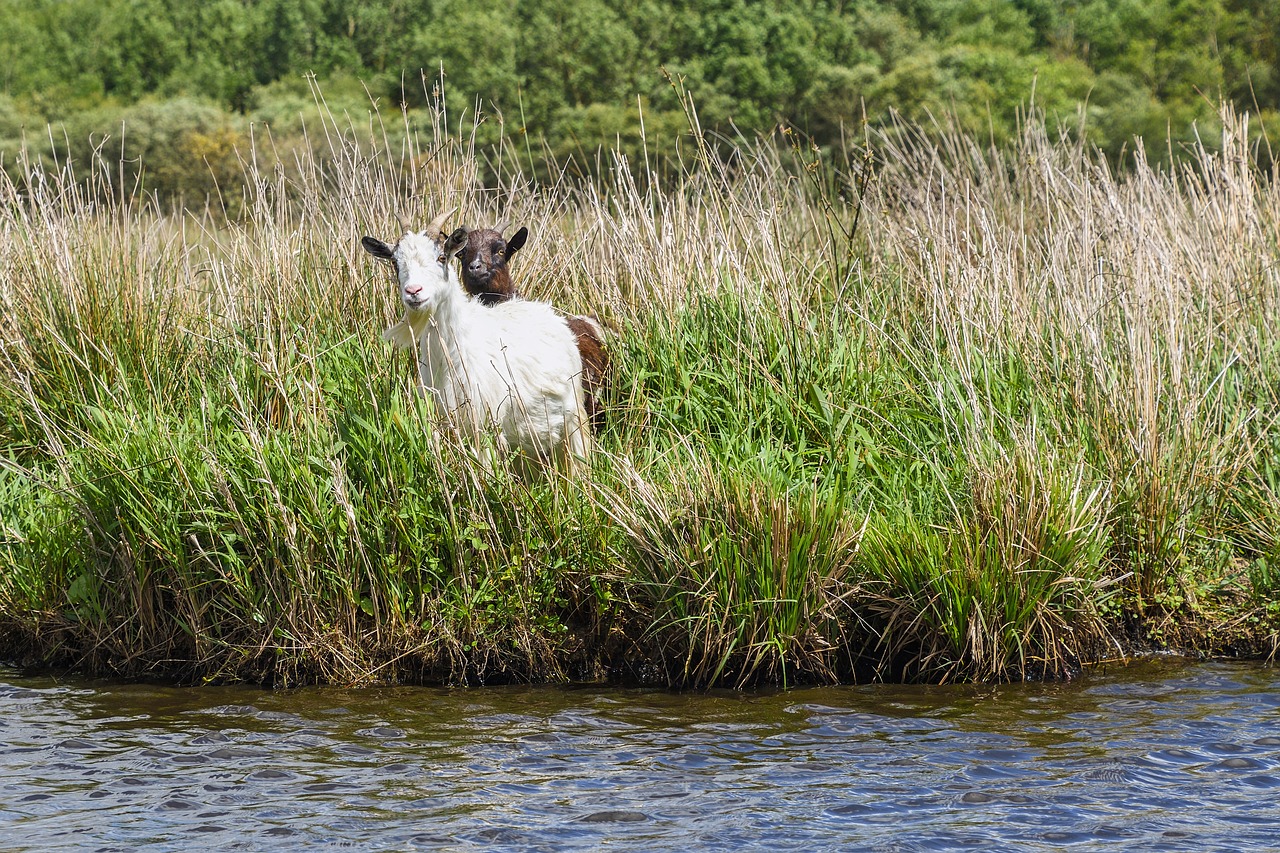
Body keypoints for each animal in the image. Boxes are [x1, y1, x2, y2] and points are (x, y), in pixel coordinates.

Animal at [360, 208, 588, 468]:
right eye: (395, 262)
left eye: (442, 258)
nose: (414, 291)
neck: (453, 353)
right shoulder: (442, 420)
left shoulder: (485, 422)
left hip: (573, 416)